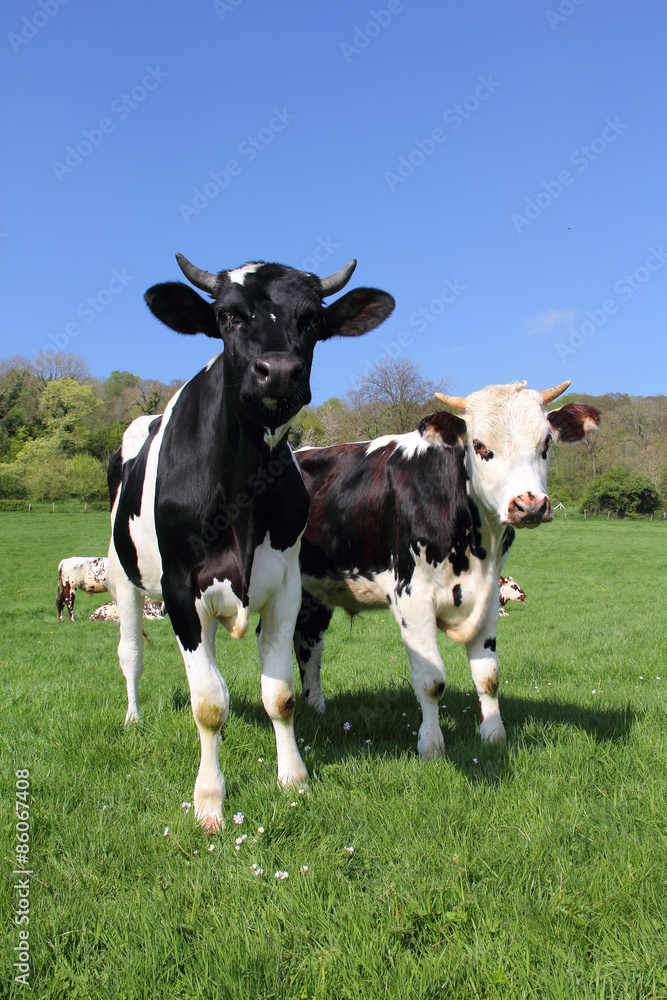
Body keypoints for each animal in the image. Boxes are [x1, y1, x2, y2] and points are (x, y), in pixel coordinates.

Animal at [107, 250, 394, 828]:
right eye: (226, 317)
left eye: (312, 320)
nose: (278, 370)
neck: (241, 489)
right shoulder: (180, 588)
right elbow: (208, 704)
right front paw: (209, 801)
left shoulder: (285, 587)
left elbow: (279, 694)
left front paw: (294, 779)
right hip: (123, 574)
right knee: (132, 653)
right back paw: (132, 718)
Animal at [294, 378, 604, 752]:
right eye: (479, 445)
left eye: (545, 443)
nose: (529, 505)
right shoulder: (411, 596)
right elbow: (431, 680)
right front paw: (431, 745)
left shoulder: (488, 597)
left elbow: (488, 676)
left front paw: (494, 735)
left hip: (313, 592)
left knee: (309, 646)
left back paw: (317, 710)